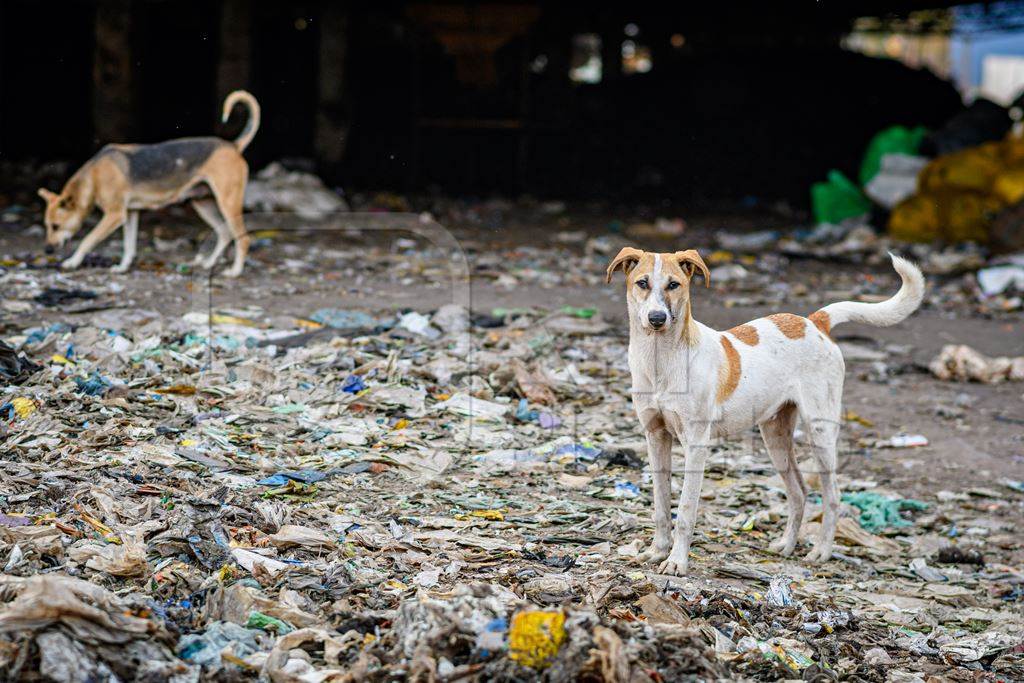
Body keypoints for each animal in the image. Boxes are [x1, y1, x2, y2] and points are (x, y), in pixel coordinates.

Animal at [36, 90, 260, 278]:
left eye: (55, 226)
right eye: (46, 226)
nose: (46, 249)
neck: (93, 176)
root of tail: (232, 146)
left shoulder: (114, 215)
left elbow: (87, 240)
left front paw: (72, 262)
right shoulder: (130, 213)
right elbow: (129, 245)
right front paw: (123, 267)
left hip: (227, 203)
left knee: (242, 238)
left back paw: (235, 271)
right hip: (202, 202)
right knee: (224, 233)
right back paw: (208, 263)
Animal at [606, 248, 929, 573]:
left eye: (674, 285)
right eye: (642, 283)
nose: (657, 318)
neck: (661, 358)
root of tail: (814, 322)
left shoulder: (696, 444)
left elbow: (685, 510)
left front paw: (676, 562)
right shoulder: (656, 437)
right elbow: (661, 505)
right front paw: (657, 551)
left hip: (820, 432)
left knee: (833, 495)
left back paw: (821, 551)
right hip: (775, 436)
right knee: (799, 491)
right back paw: (786, 546)